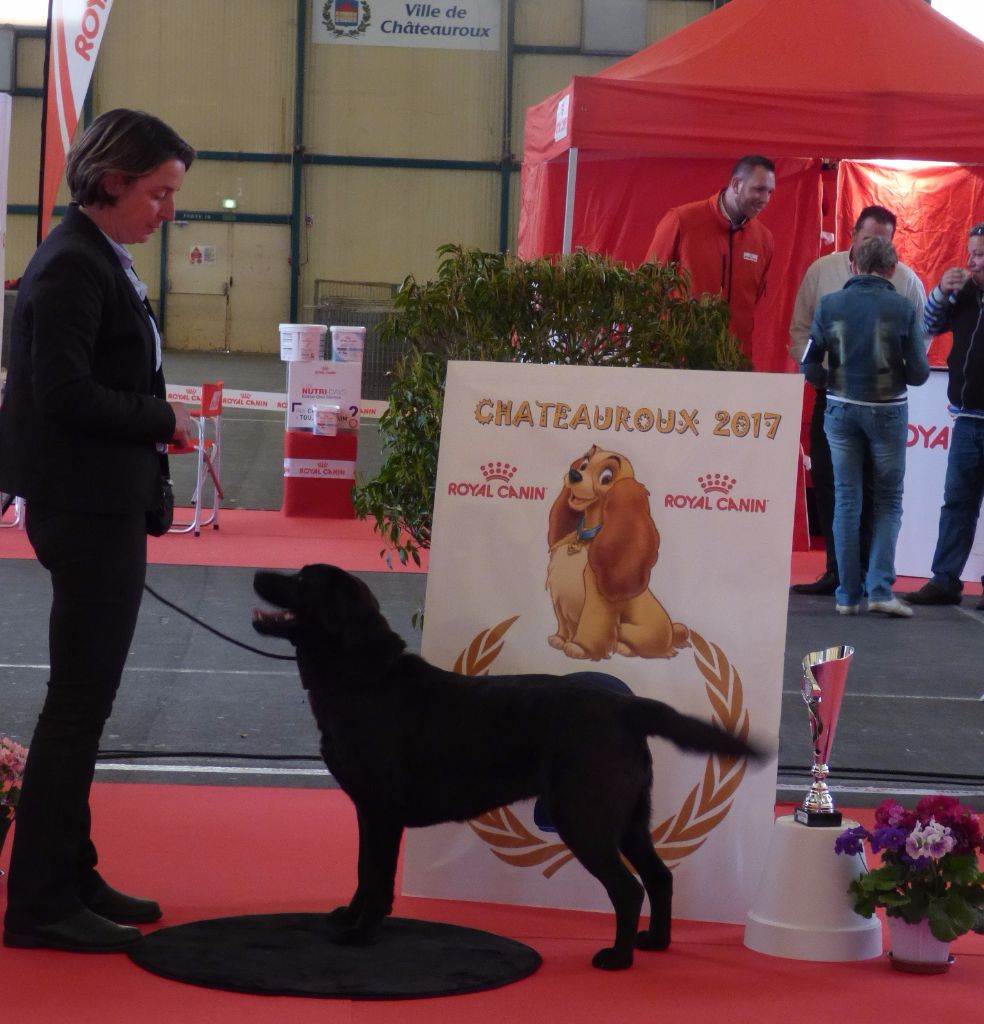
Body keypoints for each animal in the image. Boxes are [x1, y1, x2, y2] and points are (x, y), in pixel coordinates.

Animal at [252, 563, 758, 970]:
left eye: (302, 580)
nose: (258, 573)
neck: (361, 677)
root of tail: (623, 706)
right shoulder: (366, 810)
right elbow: (362, 871)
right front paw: (350, 916)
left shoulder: (382, 811)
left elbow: (376, 878)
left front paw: (360, 934)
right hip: (629, 817)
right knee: (659, 876)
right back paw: (655, 941)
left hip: (585, 817)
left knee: (628, 888)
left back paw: (618, 958)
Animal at [546, 446, 690, 661]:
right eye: (584, 464)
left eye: (606, 477)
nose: (573, 474)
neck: (584, 539)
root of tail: (672, 632)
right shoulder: (560, 595)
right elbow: (563, 623)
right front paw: (560, 639)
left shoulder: (598, 604)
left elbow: (591, 625)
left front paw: (579, 648)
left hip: (630, 630)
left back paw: (623, 647)